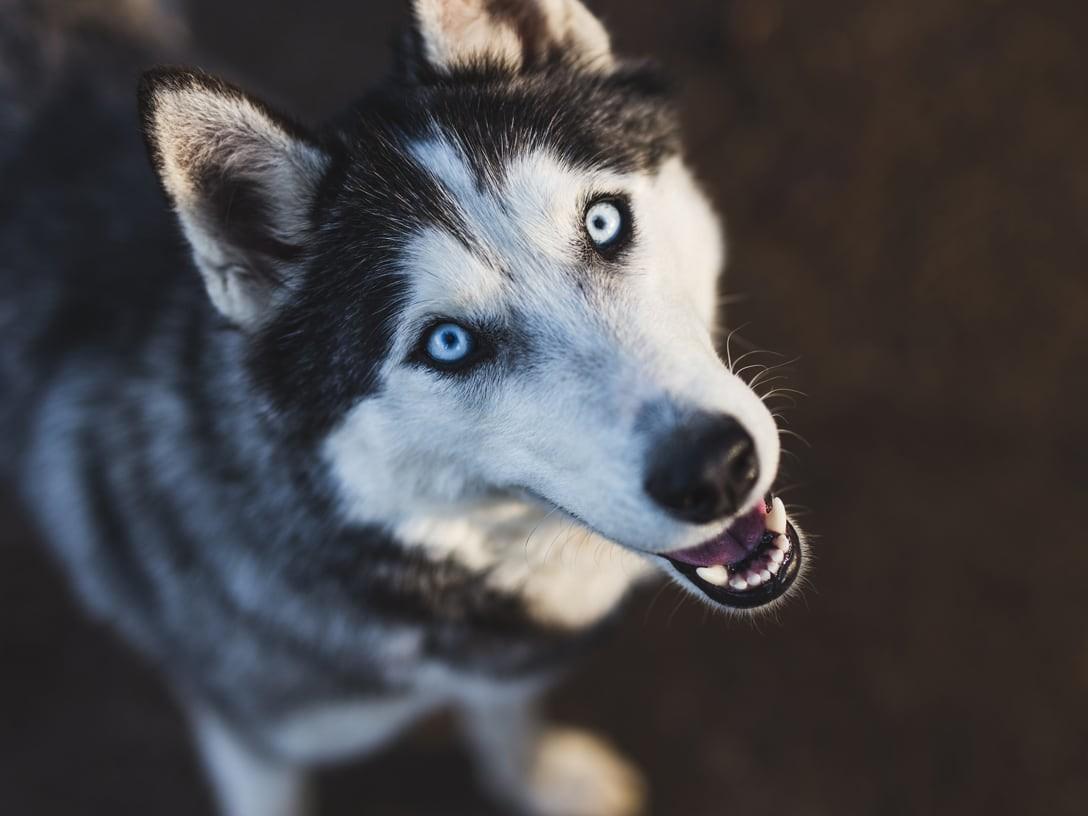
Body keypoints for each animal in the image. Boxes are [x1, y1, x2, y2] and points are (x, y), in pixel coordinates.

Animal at [2, 1, 809, 816]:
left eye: (604, 223)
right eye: (448, 344)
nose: (713, 468)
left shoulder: (496, 674)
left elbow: (503, 717)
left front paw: (539, 780)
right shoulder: (250, 739)